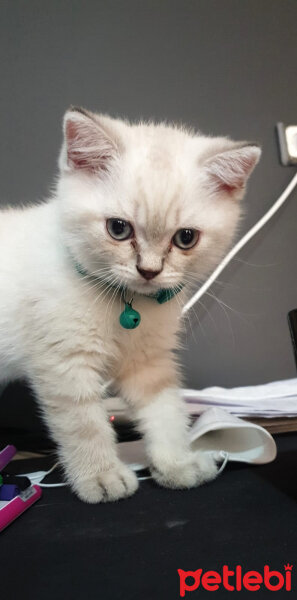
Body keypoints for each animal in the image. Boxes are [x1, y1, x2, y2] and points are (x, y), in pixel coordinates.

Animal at [0, 109, 260, 502]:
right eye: (118, 229)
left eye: (186, 238)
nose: (149, 271)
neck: (126, 303)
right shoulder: (64, 364)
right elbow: (84, 425)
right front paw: (101, 476)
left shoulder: (149, 361)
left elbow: (167, 412)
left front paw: (177, 464)